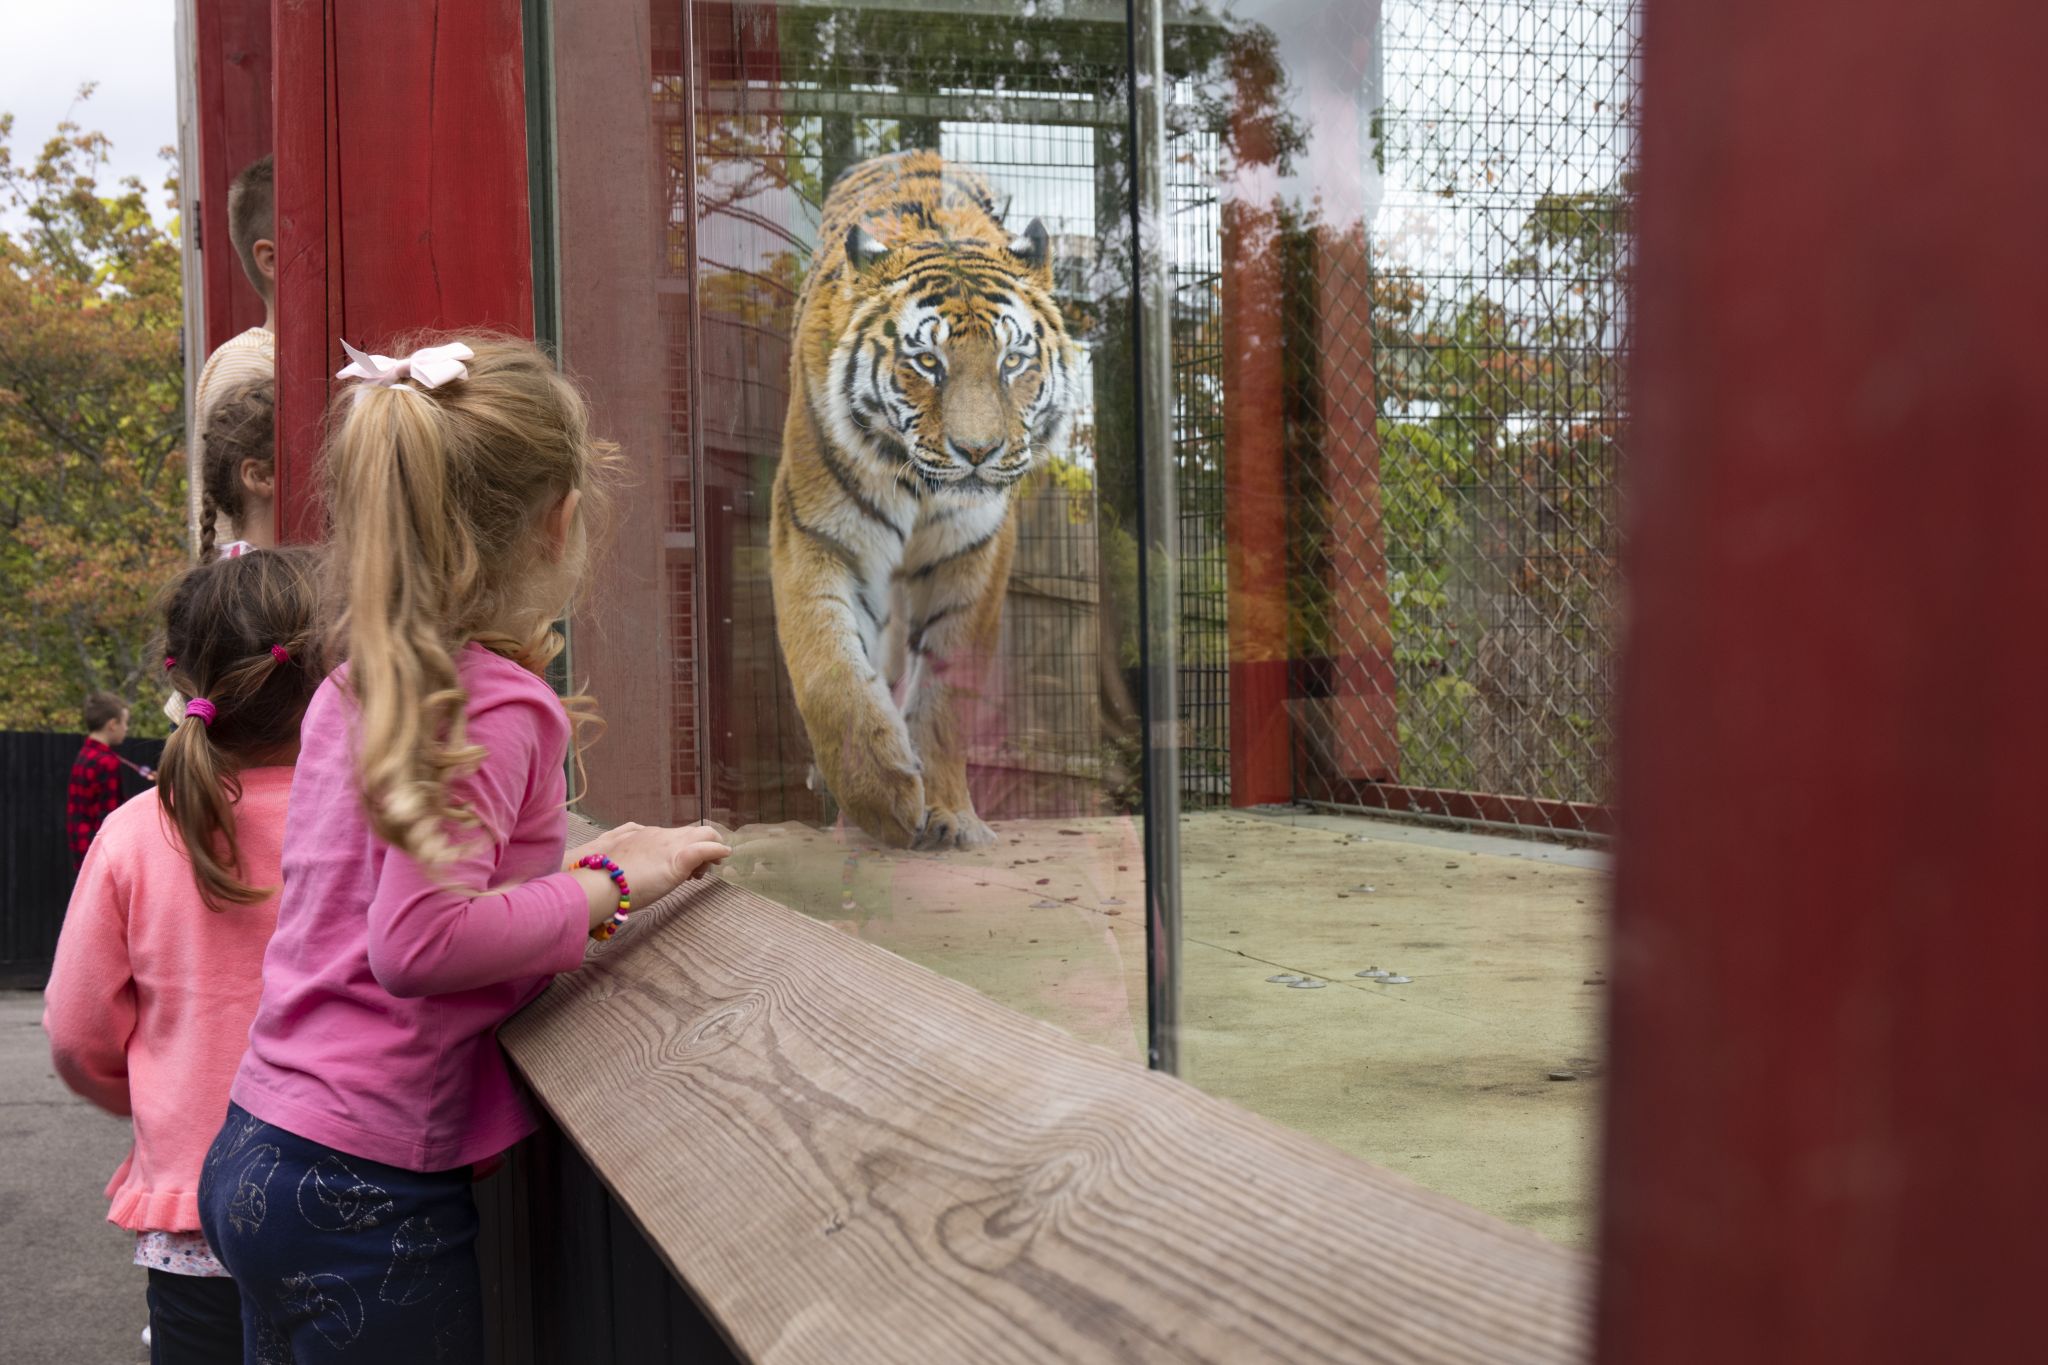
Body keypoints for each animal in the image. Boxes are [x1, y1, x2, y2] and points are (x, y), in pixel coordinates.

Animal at [770, 154, 1081, 847]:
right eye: (928, 362)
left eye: (1012, 360)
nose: (978, 451)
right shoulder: (816, 533)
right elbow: (829, 668)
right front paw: (880, 797)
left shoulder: (974, 553)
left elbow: (945, 698)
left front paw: (948, 815)